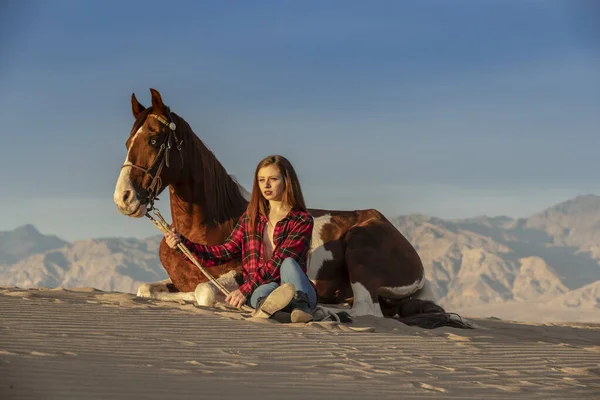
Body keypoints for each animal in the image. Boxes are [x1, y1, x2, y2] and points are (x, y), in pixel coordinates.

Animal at [112, 89, 468, 330]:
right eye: (128, 142)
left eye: (155, 140)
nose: (124, 198)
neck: (209, 225)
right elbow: (146, 289)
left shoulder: (237, 275)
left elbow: (204, 293)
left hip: (361, 251)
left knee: (367, 310)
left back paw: (326, 311)